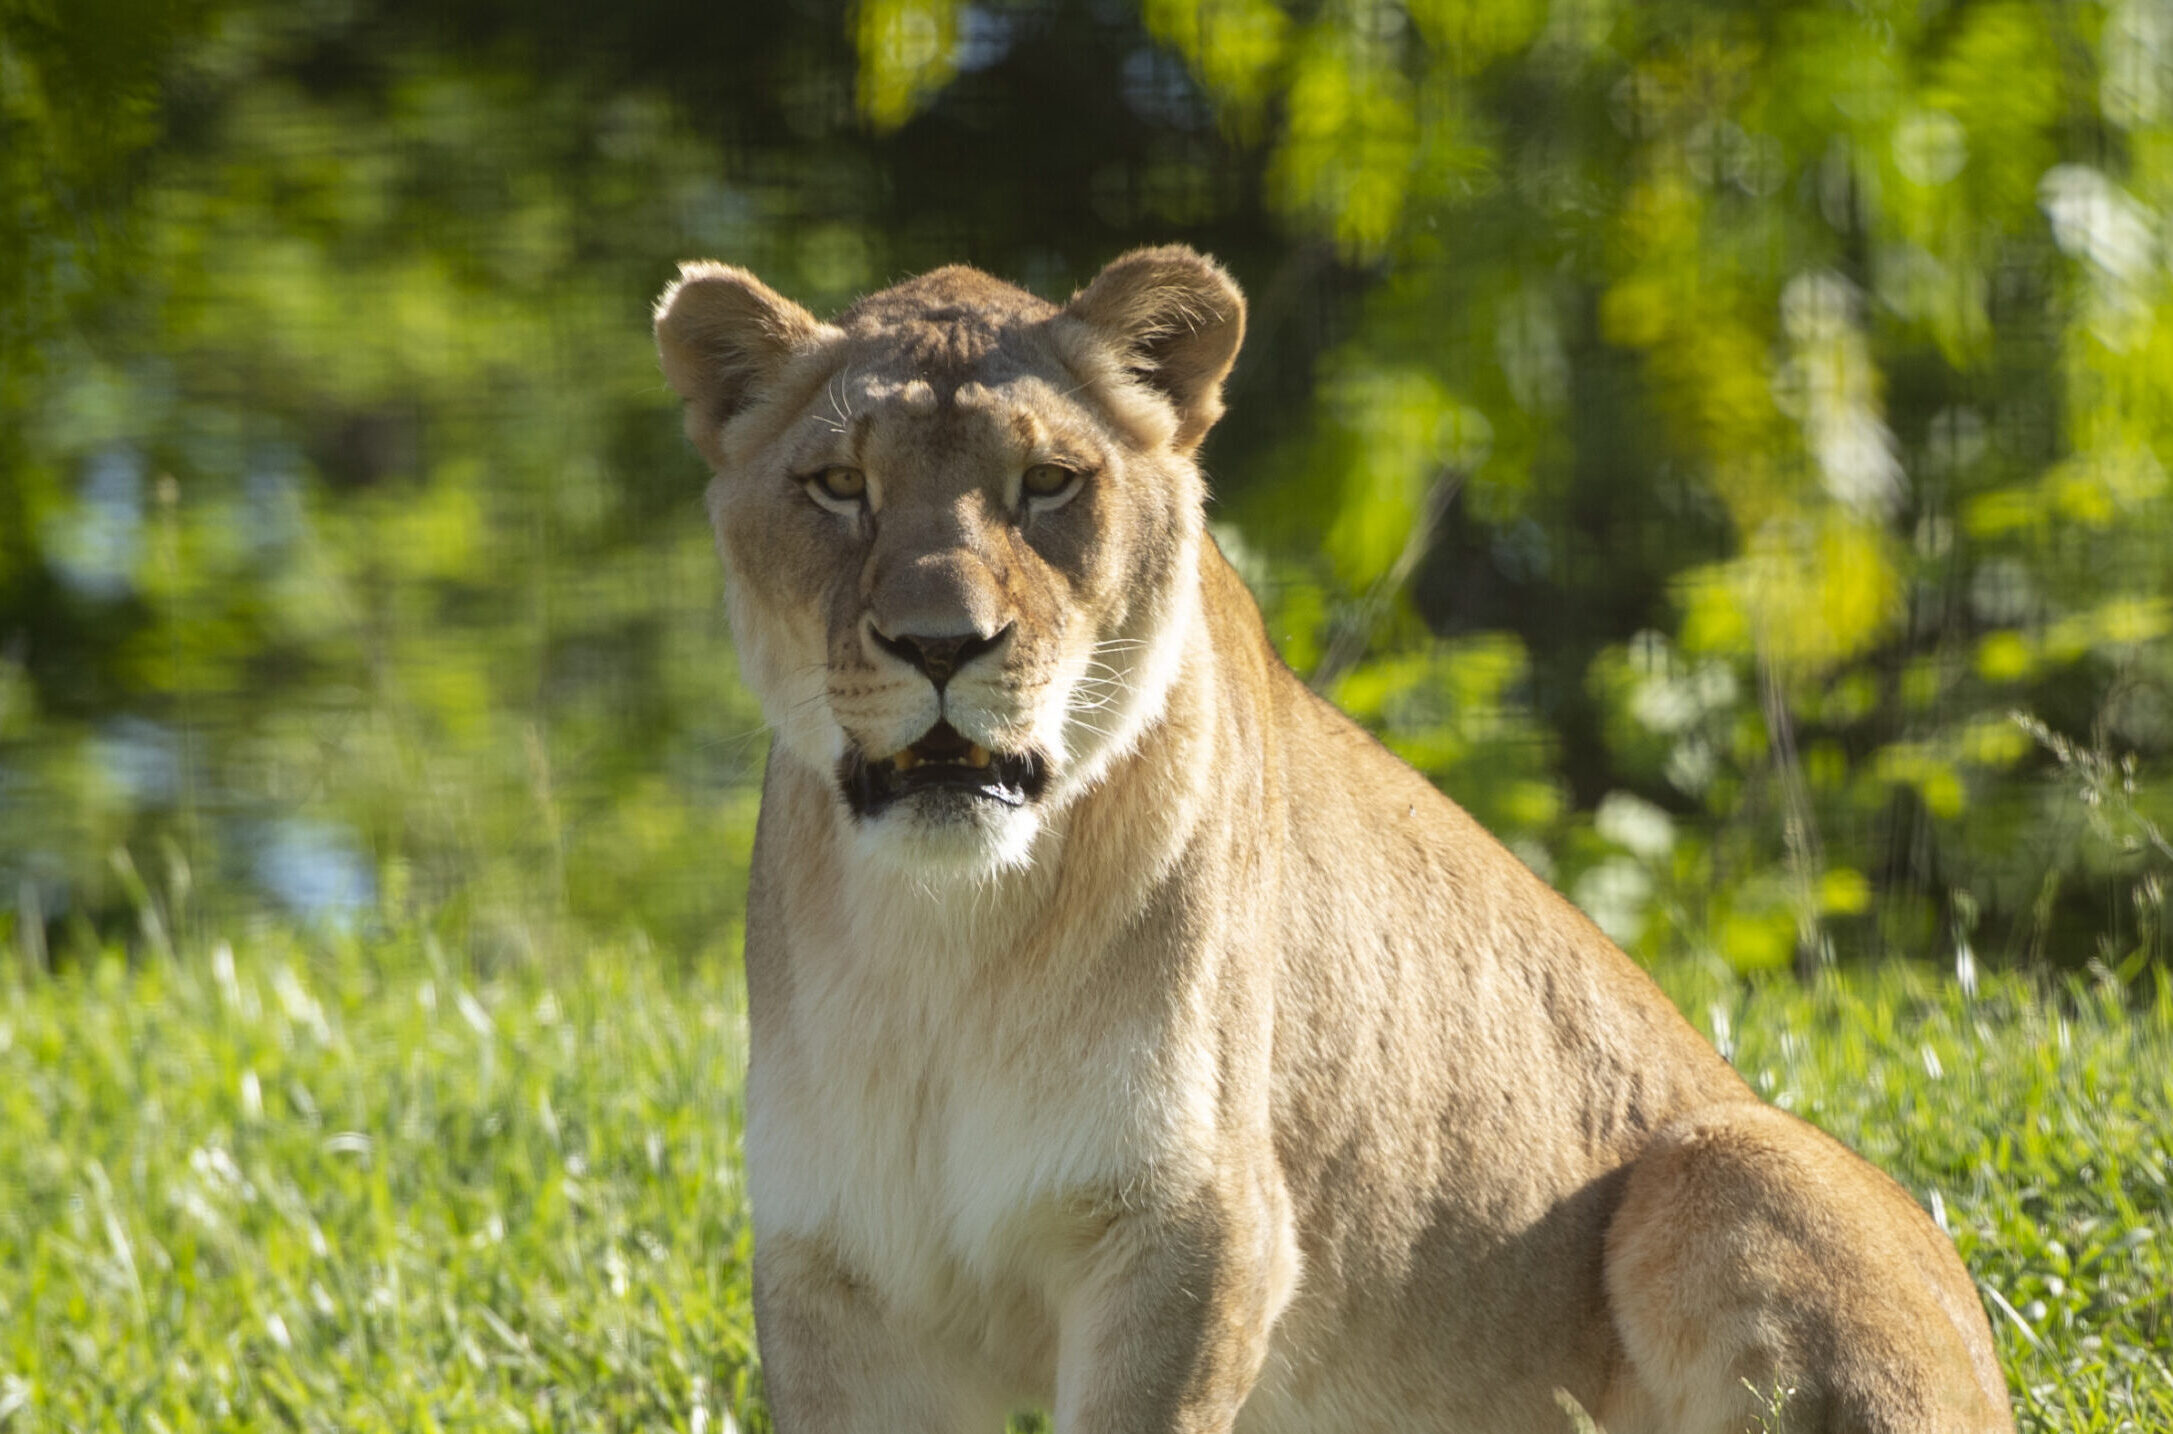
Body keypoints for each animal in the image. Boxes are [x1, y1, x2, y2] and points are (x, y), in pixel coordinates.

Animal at [651, 246, 2007, 1434]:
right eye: (839, 485)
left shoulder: (1197, 1230)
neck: (947, 940)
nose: (941, 644)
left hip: (1732, 1159)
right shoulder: (839, 1273)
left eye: (1047, 484)